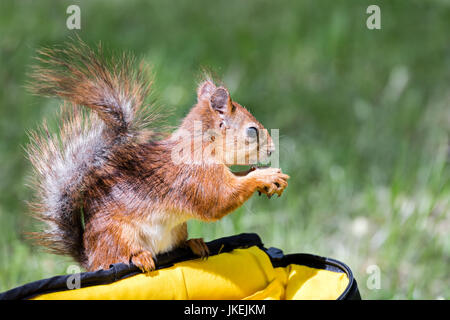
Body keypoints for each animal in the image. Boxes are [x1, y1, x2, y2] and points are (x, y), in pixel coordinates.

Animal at [26, 38, 290, 272]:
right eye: (252, 131)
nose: (271, 150)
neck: (202, 144)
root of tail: (90, 258)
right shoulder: (196, 176)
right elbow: (219, 200)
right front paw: (263, 177)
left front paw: (262, 173)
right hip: (117, 234)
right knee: (119, 254)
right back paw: (139, 257)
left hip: (177, 229)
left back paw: (194, 244)